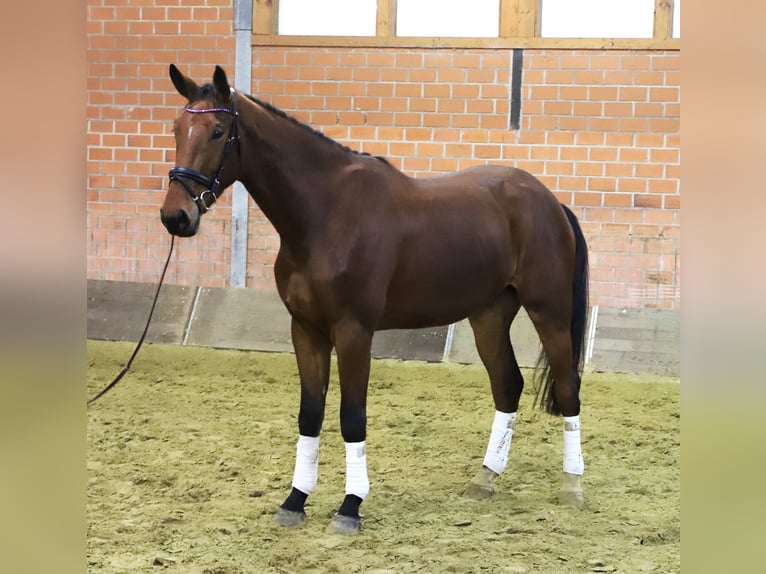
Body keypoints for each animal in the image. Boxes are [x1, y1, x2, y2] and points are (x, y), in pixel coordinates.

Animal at [160, 65, 589, 534]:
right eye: (177, 128)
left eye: (218, 131)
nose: (175, 216)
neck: (326, 213)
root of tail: (550, 201)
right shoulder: (305, 330)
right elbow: (310, 414)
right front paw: (295, 500)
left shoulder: (353, 332)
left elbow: (352, 417)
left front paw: (350, 506)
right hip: (489, 316)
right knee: (507, 385)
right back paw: (485, 478)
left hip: (550, 311)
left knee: (568, 387)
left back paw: (572, 486)